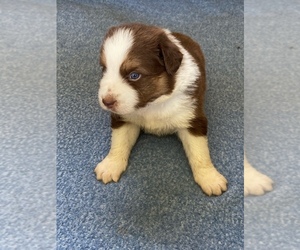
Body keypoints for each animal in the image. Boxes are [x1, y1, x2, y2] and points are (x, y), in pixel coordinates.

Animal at [95, 23, 227, 195]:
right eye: (104, 69)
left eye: (134, 75)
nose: (106, 101)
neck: (153, 103)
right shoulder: (125, 119)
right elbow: (119, 142)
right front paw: (110, 165)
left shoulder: (192, 118)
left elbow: (200, 152)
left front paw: (210, 178)